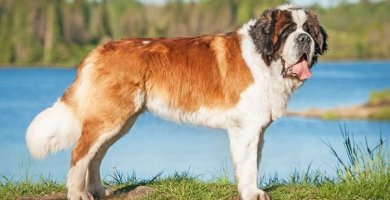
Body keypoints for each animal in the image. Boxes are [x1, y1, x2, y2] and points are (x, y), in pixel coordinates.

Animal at [25, 3, 328, 200]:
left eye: (308, 30)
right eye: (287, 30)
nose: (304, 39)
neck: (264, 58)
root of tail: (99, 49)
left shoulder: (257, 130)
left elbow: (252, 163)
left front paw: (250, 189)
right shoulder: (246, 129)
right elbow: (248, 164)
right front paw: (252, 193)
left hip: (121, 121)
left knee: (95, 155)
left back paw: (98, 191)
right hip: (109, 117)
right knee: (81, 153)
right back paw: (78, 193)